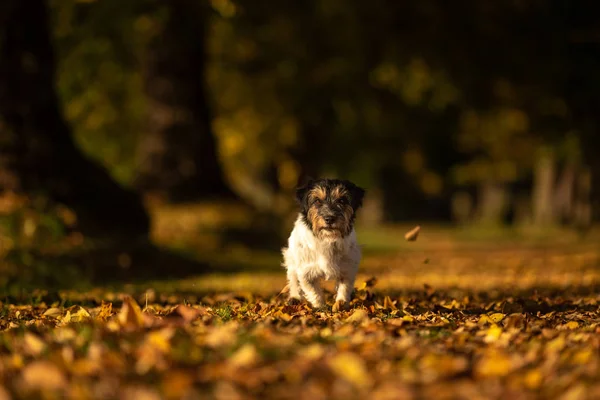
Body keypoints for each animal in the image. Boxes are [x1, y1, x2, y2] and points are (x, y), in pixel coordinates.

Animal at [282, 179, 366, 310]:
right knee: (293, 279)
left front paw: (341, 304)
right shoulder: (306, 272)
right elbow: (313, 291)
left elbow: (344, 287)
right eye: (317, 200)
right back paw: (294, 298)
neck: (327, 239)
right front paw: (320, 307)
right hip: (291, 260)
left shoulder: (348, 268)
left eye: (342, 200)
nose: (329, 218)